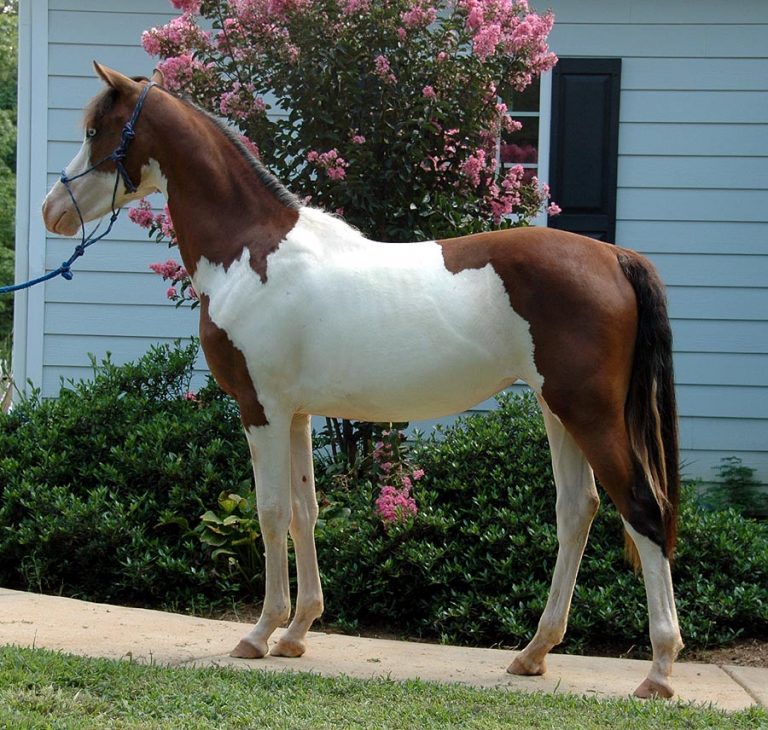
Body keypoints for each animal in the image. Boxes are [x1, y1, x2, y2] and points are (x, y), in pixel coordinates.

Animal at [43, 63, 683, 699]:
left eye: (98, 131)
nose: (53, 210)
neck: (249, 252)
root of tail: (616, 258)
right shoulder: (297, 413)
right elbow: (304, 511)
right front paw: (296, 633)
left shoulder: (261, 407)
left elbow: (269, 511)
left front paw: (259, 634)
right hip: (559, 411)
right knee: (577, 511)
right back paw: (533, 653)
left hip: (589, 413)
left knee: (642, 509)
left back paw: (658, 669)